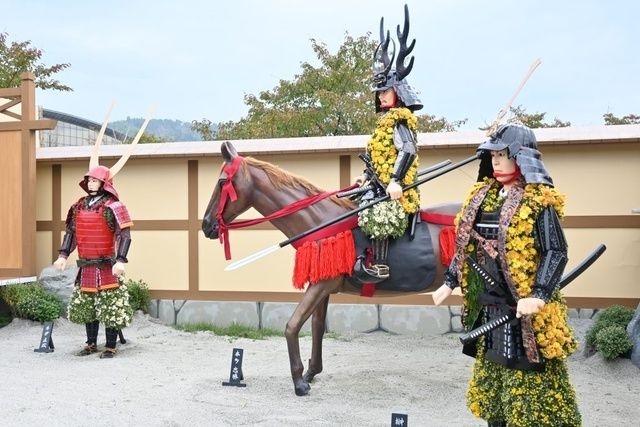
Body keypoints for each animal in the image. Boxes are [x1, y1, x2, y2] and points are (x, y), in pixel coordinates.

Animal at [202, 141, 462, 398]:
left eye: (222, 182)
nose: (206, 225)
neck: (320, 221)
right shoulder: (322, 286)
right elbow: (317, 326)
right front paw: (311, 372)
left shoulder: (321, 285)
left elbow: (292, 326)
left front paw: (299, 382)